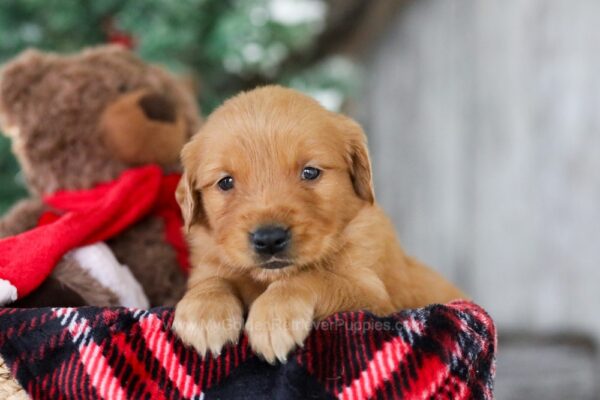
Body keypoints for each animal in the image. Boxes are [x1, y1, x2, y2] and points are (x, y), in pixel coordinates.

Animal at [171, 85, 466, 362]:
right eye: (225, 182)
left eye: (310, 172)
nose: (269, 239)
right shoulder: (207, 265)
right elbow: (213, 280)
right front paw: (205, 312)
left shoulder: (373, 293)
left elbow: (314, 277)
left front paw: (274, 316)